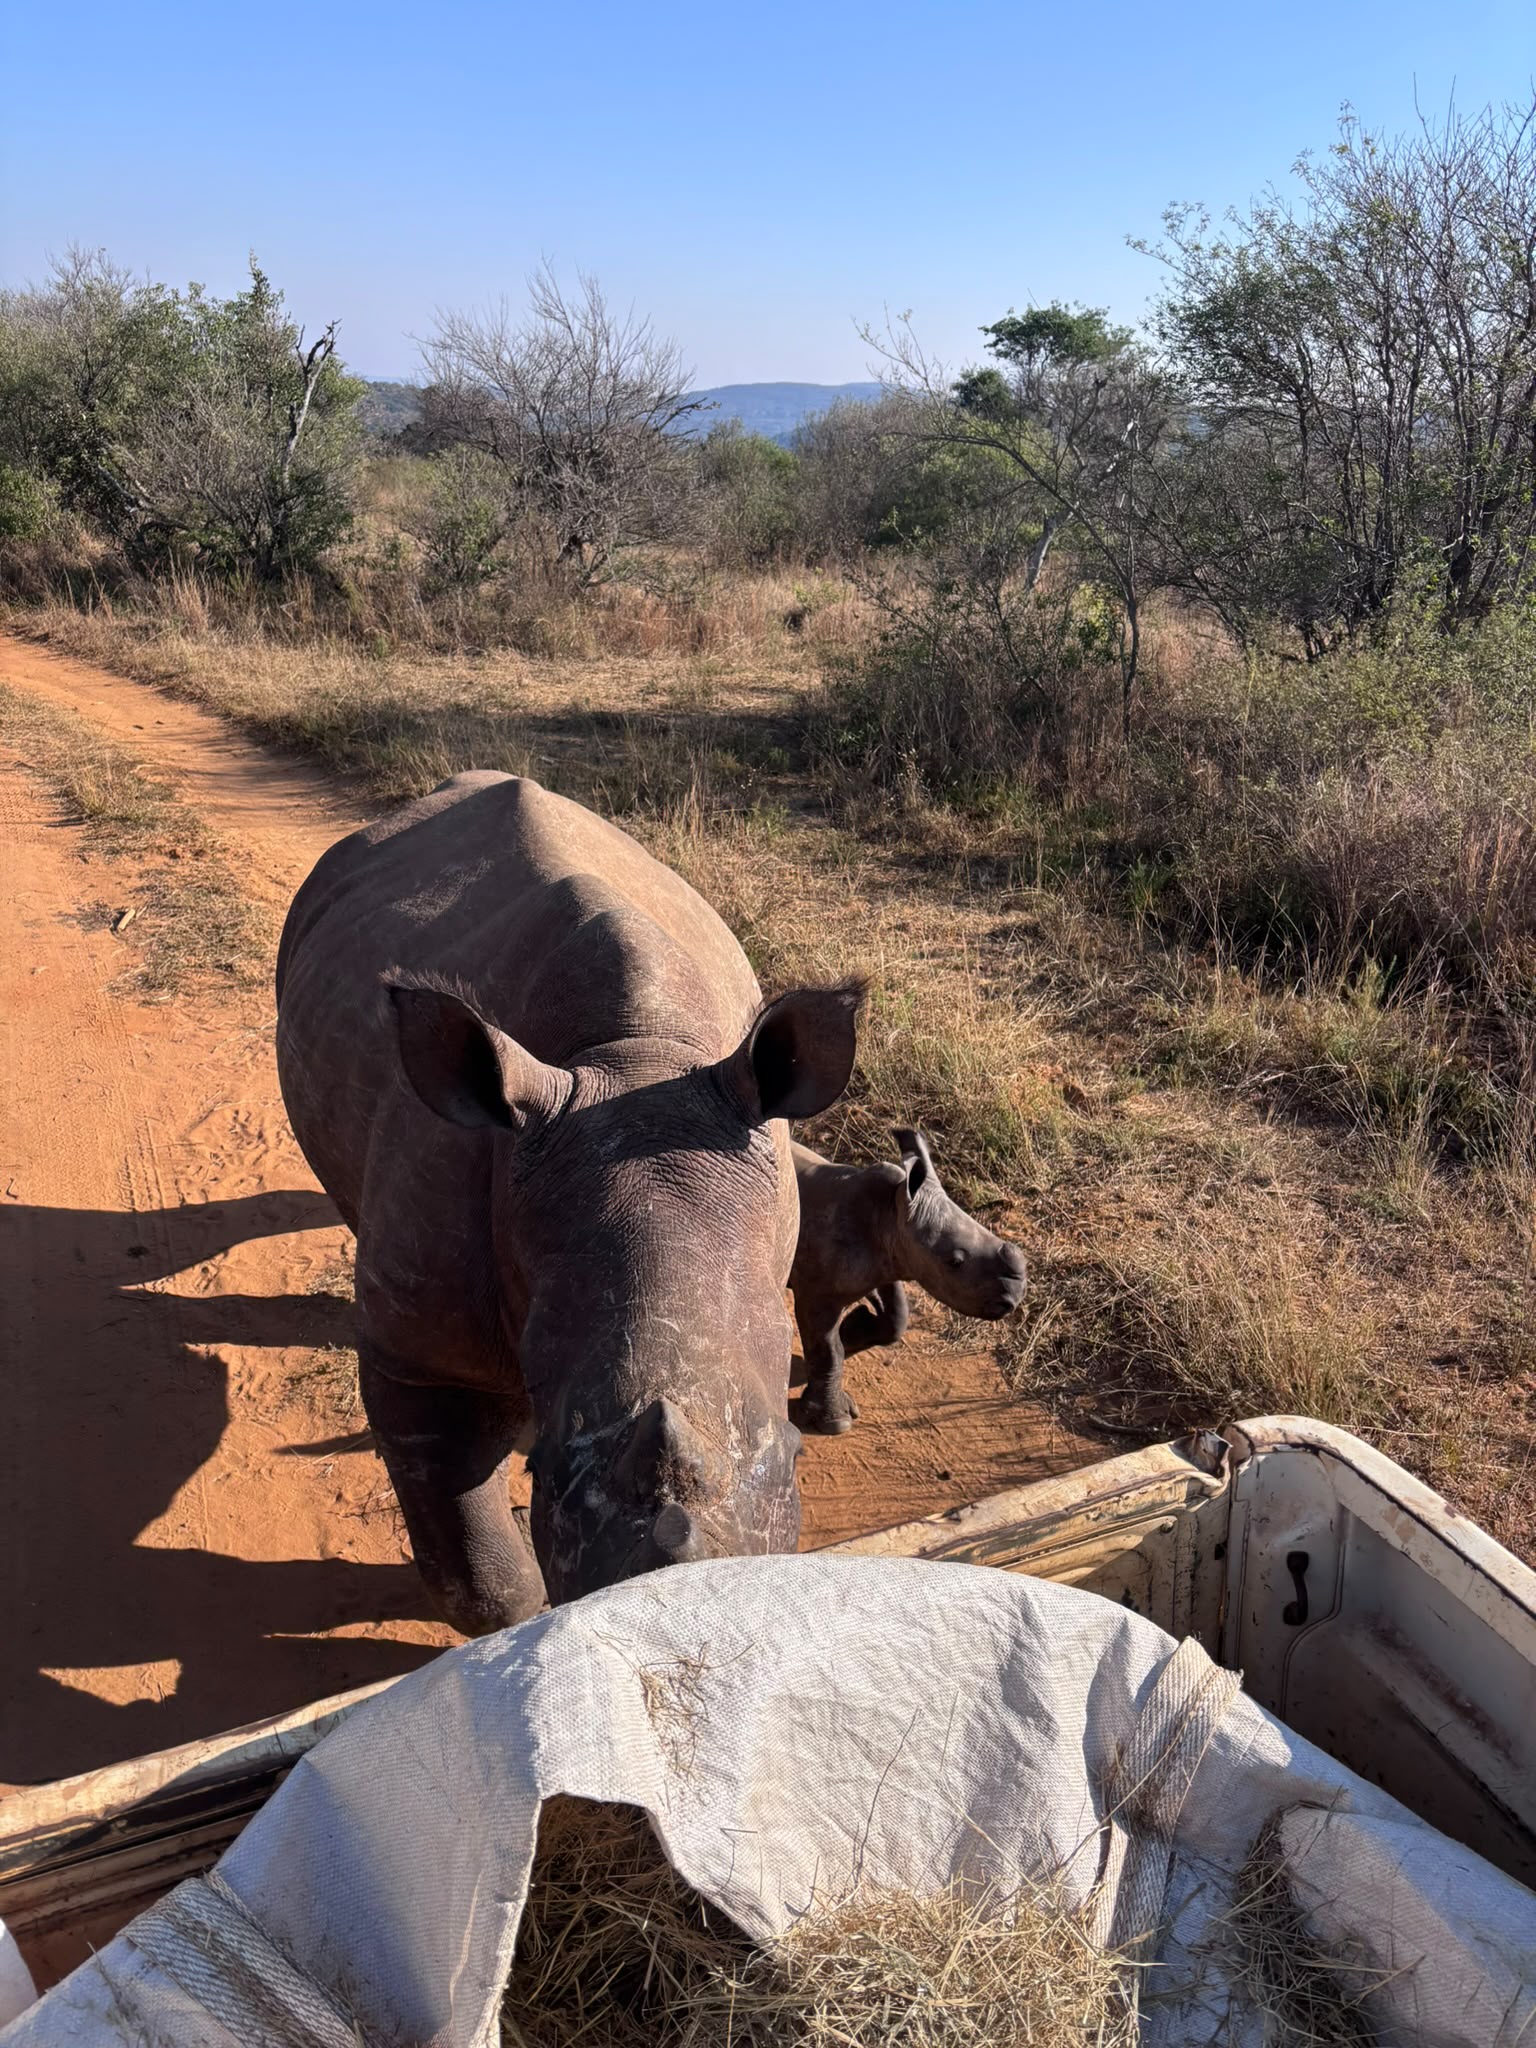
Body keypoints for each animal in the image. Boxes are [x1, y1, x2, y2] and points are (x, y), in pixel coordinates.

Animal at [789, 1129, 1027, 1433]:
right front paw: (835, 1422)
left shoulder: (889, 1261)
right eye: (955, 1262)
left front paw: (852, 1331)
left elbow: (897, 1316)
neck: (889, 1214)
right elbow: (826, 1350)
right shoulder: (816, 1294)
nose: (1015, 1295)